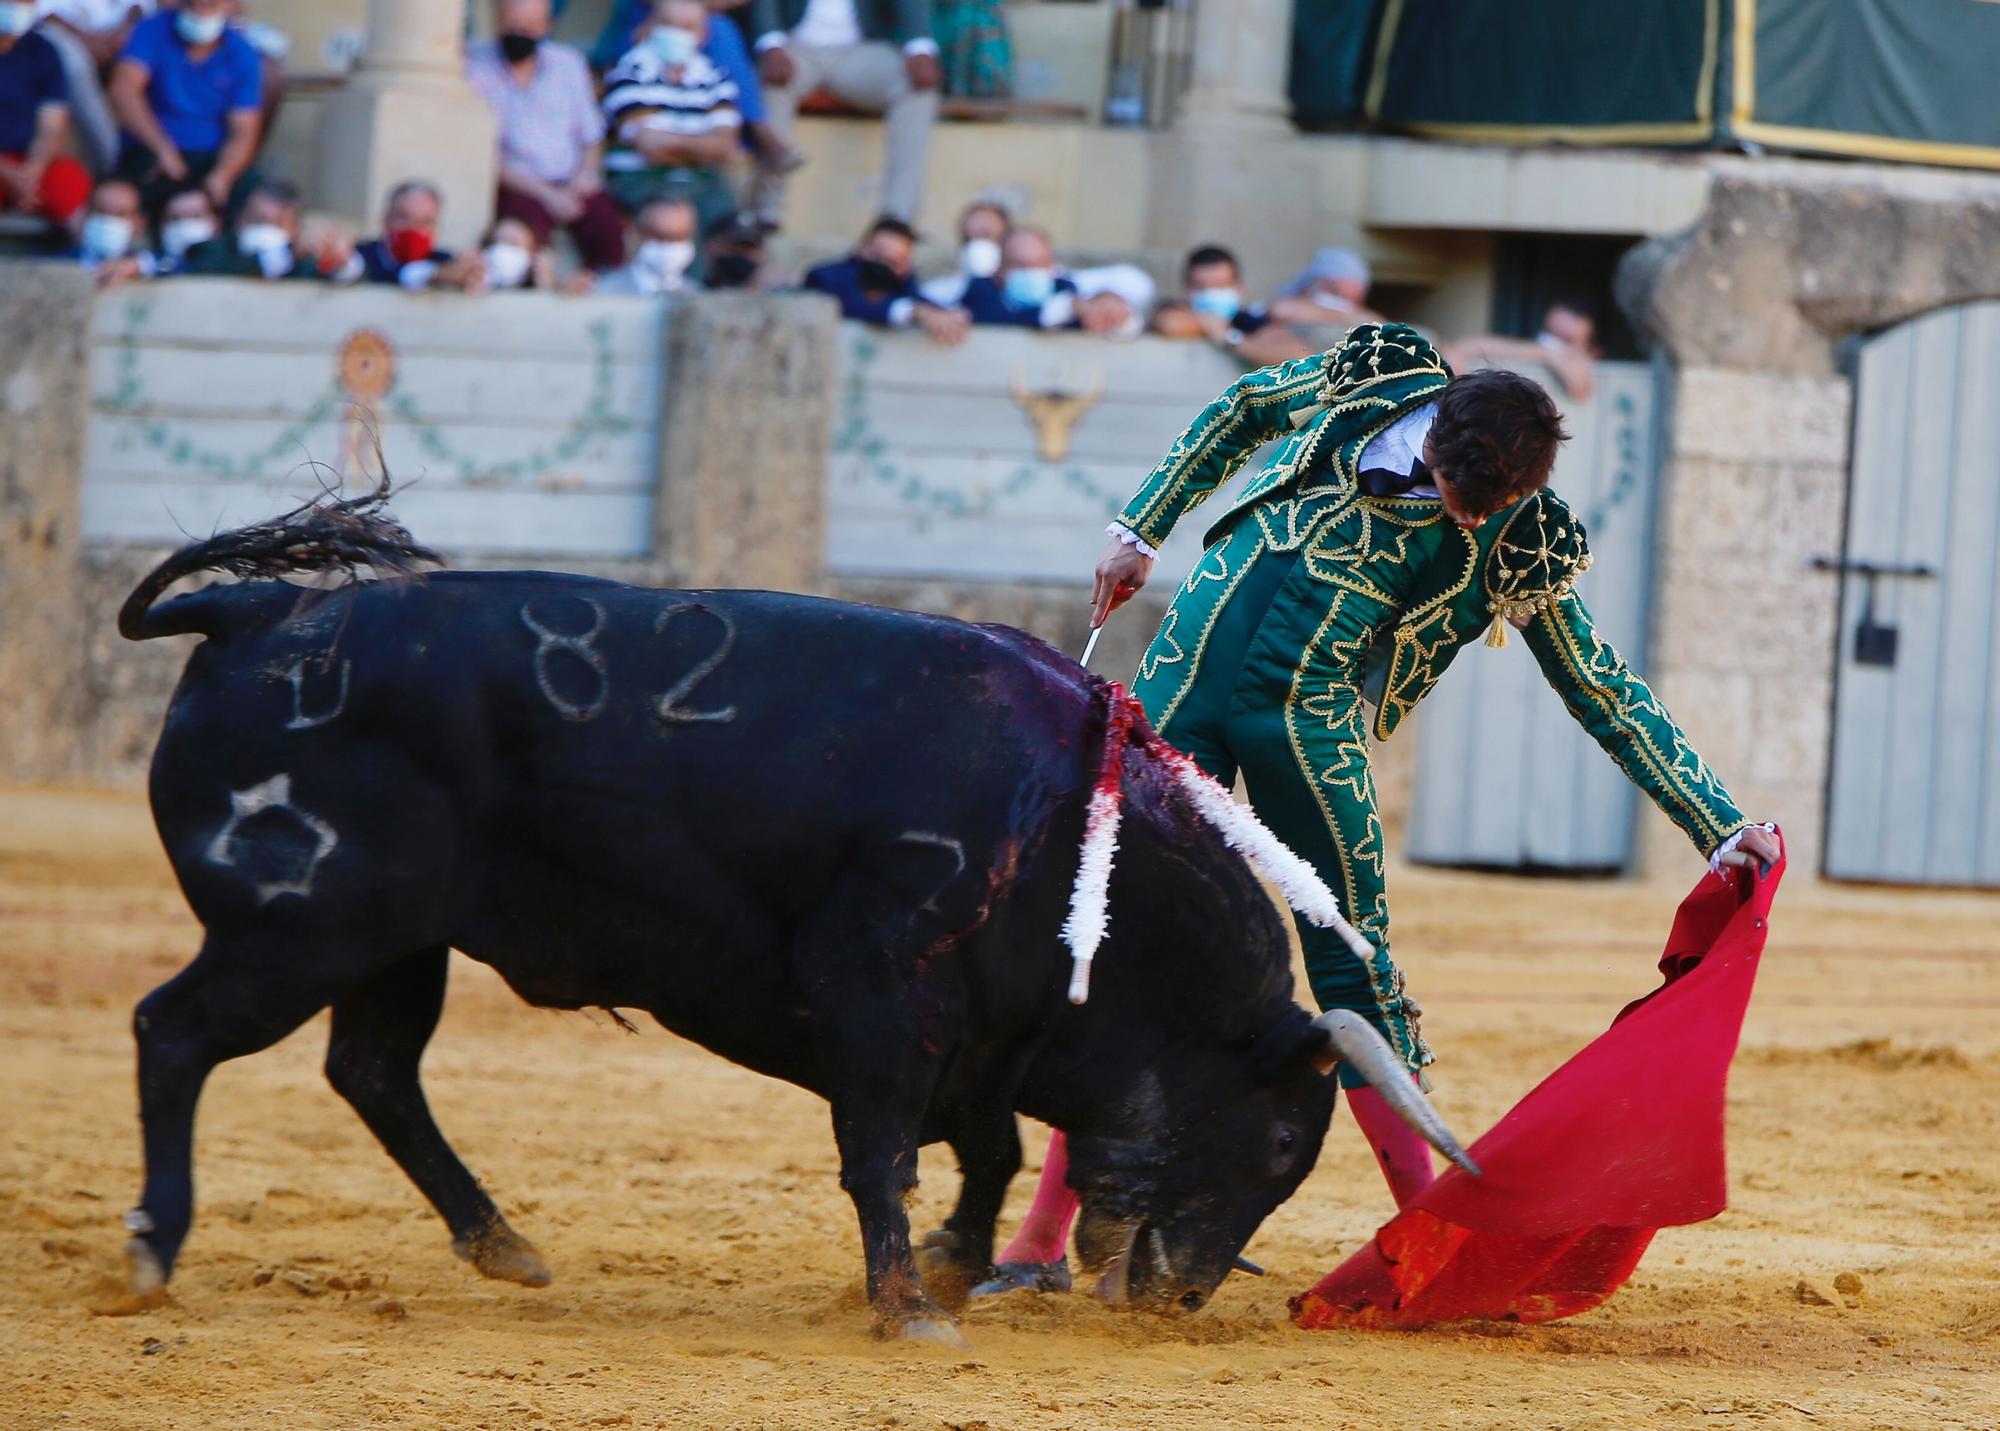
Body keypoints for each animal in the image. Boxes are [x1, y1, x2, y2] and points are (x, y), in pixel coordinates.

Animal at [121, 491, 1472, 1343]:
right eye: (1283, 1144)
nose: (1179, 1299)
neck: (1069, 837)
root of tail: (253, 617)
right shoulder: (881, 991)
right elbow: (882, 1148)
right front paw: (909, 1309)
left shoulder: (980, 1031)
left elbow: (987, 1151)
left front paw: (947, 1268)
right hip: (296, 930)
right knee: (175, 1034)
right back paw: (151, 1253)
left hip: (395, 943)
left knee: (373, 1069)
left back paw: (503, 1243)